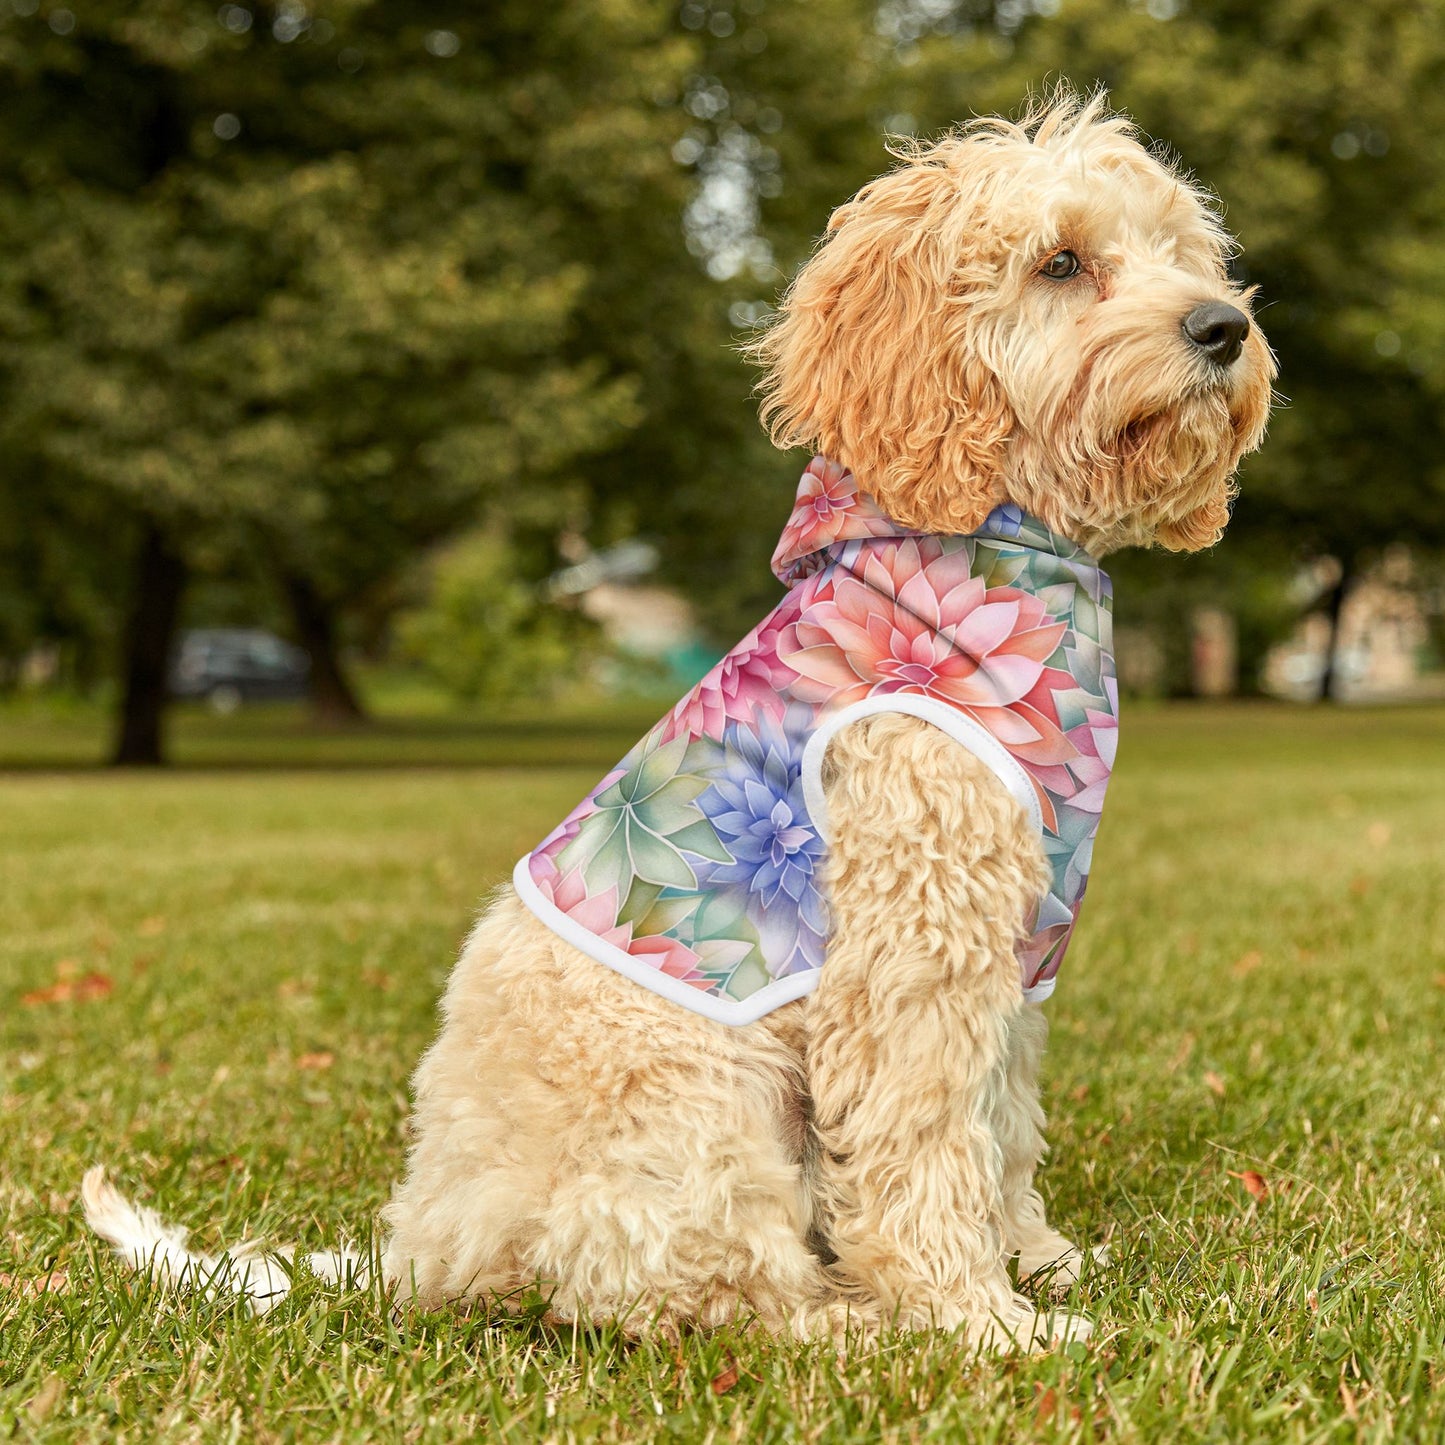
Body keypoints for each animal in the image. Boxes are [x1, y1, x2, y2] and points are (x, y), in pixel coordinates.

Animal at [84, 93, 1271, 1352]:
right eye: (1060, 262)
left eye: (1181, 252)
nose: (1222, 327)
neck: (987, 560)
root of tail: (424, 1247)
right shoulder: (910, 946)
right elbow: (923, 1141)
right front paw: (977, 1319)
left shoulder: (1012, 952)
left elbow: (999, 1124)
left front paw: (1036, 1260)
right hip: (702, 1105)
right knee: (702, 1292)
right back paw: (851, 1322)